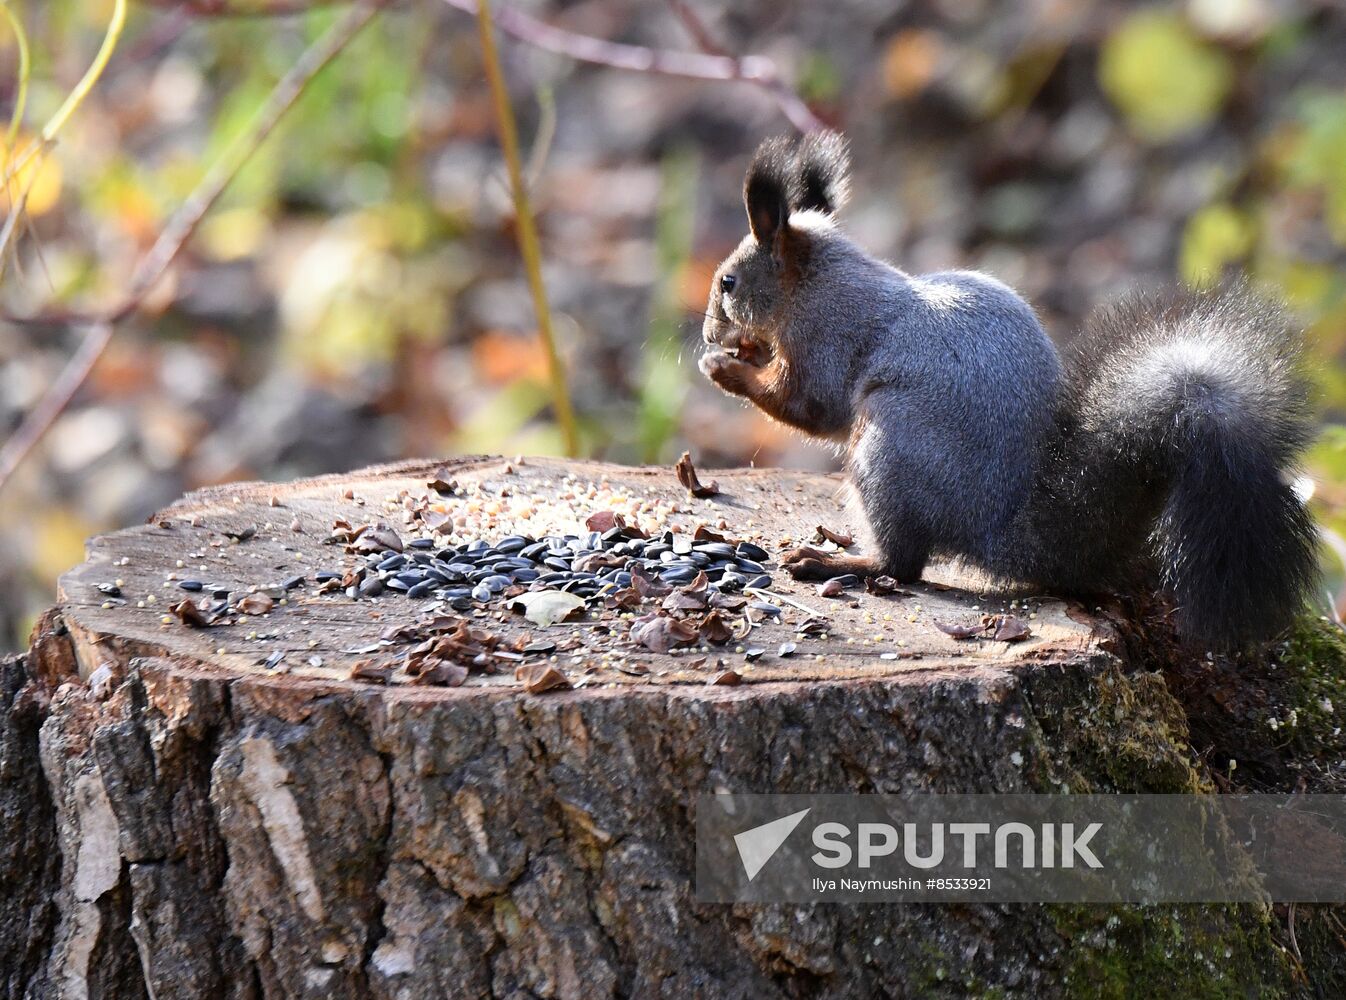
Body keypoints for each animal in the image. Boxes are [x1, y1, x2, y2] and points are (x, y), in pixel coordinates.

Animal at [699, 133, 1319, 646]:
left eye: (728, 282)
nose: (707, 332)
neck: (816, 282)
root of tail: (1000, 529)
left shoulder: (827, 338)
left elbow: (810, 406)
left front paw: (727, 368)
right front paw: (741, 354)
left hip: (888, 446)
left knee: (903, 565)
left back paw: (832, 563)